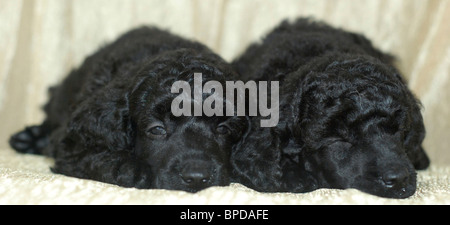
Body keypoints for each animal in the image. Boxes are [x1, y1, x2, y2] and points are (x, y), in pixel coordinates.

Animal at [9, 25, 250, 192]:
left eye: (223, 129)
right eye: (156, 129)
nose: (197, 177)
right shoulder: (72, 143)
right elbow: (95, 158)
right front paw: (132, 169)